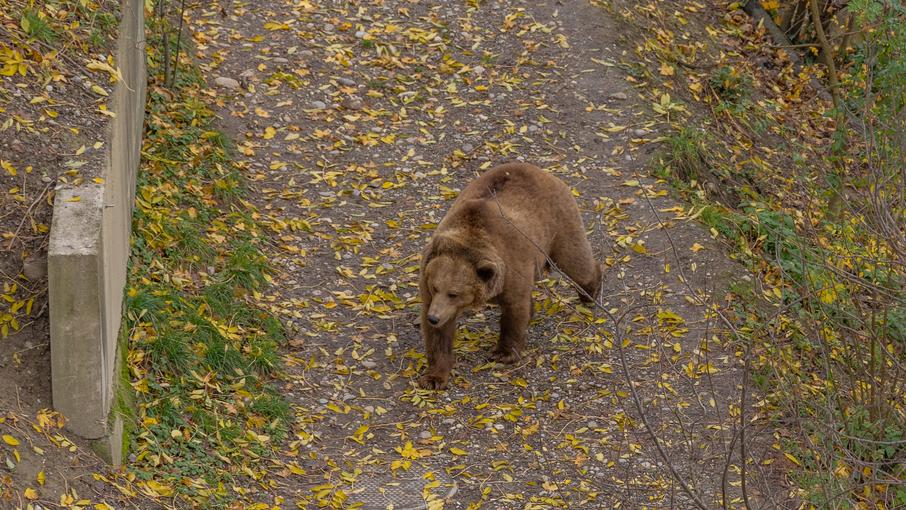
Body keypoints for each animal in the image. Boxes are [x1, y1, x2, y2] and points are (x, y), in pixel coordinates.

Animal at [416, 161, 600, 388]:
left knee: (575, 261)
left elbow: (515, 310)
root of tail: (537, 170)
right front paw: (434, 377)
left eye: (454, 293)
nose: (434, 317)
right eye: (435, 287)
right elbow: (438, 336)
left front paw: (503, 353)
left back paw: (590, 291)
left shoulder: (512, 266)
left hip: (558, 221)